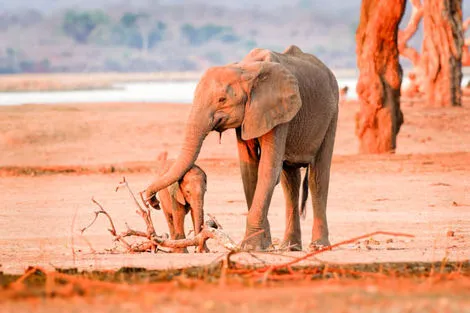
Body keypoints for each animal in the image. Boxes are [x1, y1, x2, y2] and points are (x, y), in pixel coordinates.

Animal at [146, 45, 338, 251]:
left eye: (222, 99)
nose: (153, 201)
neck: (245, 69)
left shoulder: (277, 112)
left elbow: (268, 168)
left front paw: (251, 247)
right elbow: (248, 169)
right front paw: (262, 245)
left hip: (332, 112)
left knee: (318, 176)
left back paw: (319, 246)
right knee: (290, 181)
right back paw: (291, 247)